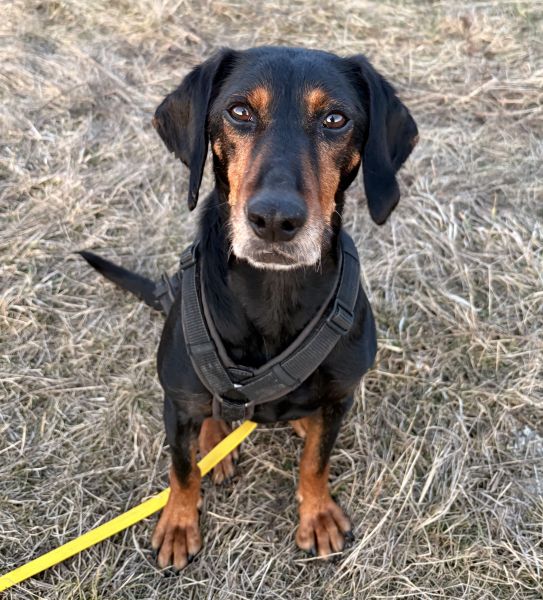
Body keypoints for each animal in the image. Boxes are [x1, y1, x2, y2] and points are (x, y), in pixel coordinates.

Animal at [81, 46, 418, 571]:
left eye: (335, 119)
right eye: (239, 111)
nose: (275, 220)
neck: (274, 292)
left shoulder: (340, 397)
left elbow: (316, 462)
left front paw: (317, 513)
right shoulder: (176, 401)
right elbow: (181, 469)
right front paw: (179, 523)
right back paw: (216, 440)